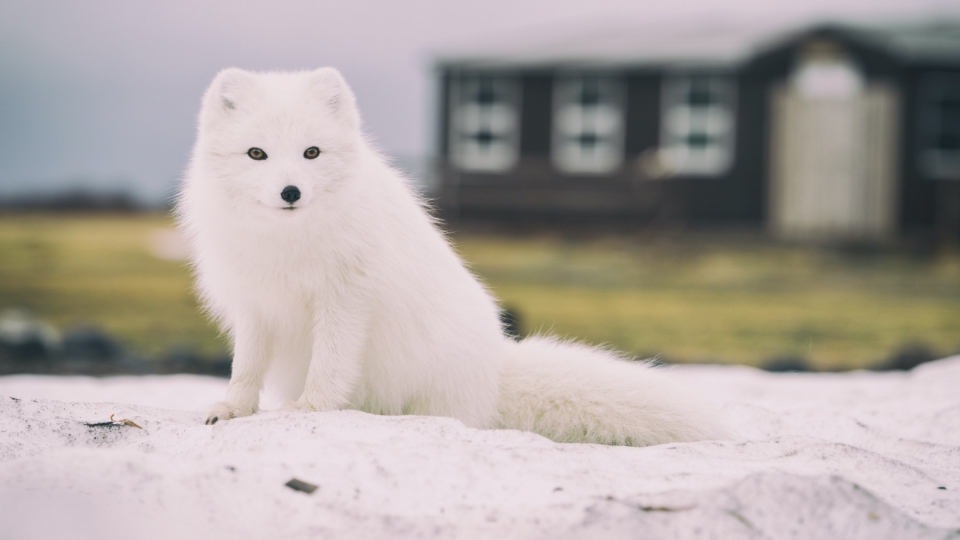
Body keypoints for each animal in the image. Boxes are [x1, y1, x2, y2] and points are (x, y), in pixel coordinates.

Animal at [176, 68, 724, 448]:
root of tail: (495, 371)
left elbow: (330, 364)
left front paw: (309, 409)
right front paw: (231, 409)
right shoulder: (253, 305)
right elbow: (245, 367)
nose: (290, 192)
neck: (287, 242)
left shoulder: (344, 299)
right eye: (257, 154)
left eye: (311, 153)